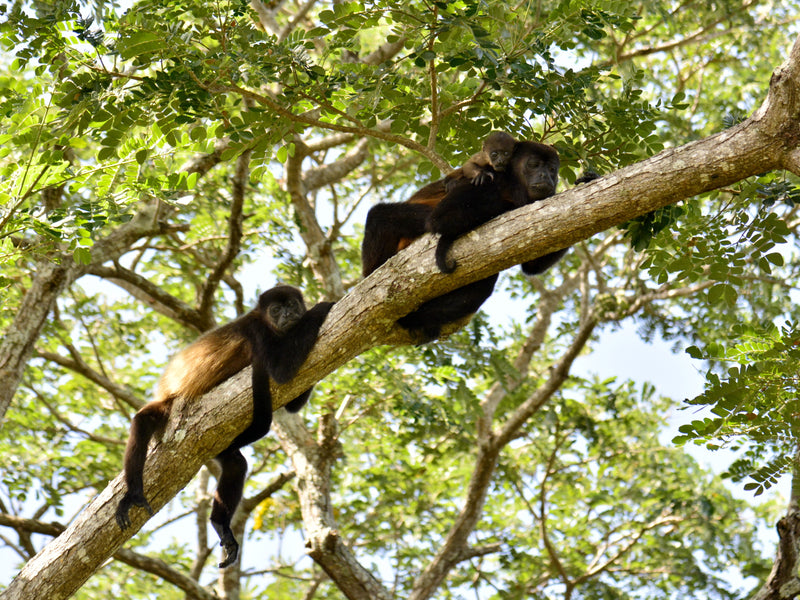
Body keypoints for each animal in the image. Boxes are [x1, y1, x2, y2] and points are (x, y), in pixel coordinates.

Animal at [115, 285, 334, 569]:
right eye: (276, 310)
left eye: (292, 305)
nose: (287, 314)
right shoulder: (257, 332)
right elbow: (281, 372)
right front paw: (321, 307)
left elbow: (292, 403)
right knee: (142, 421)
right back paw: (134, 495)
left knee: (235, 465)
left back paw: (220, 524)